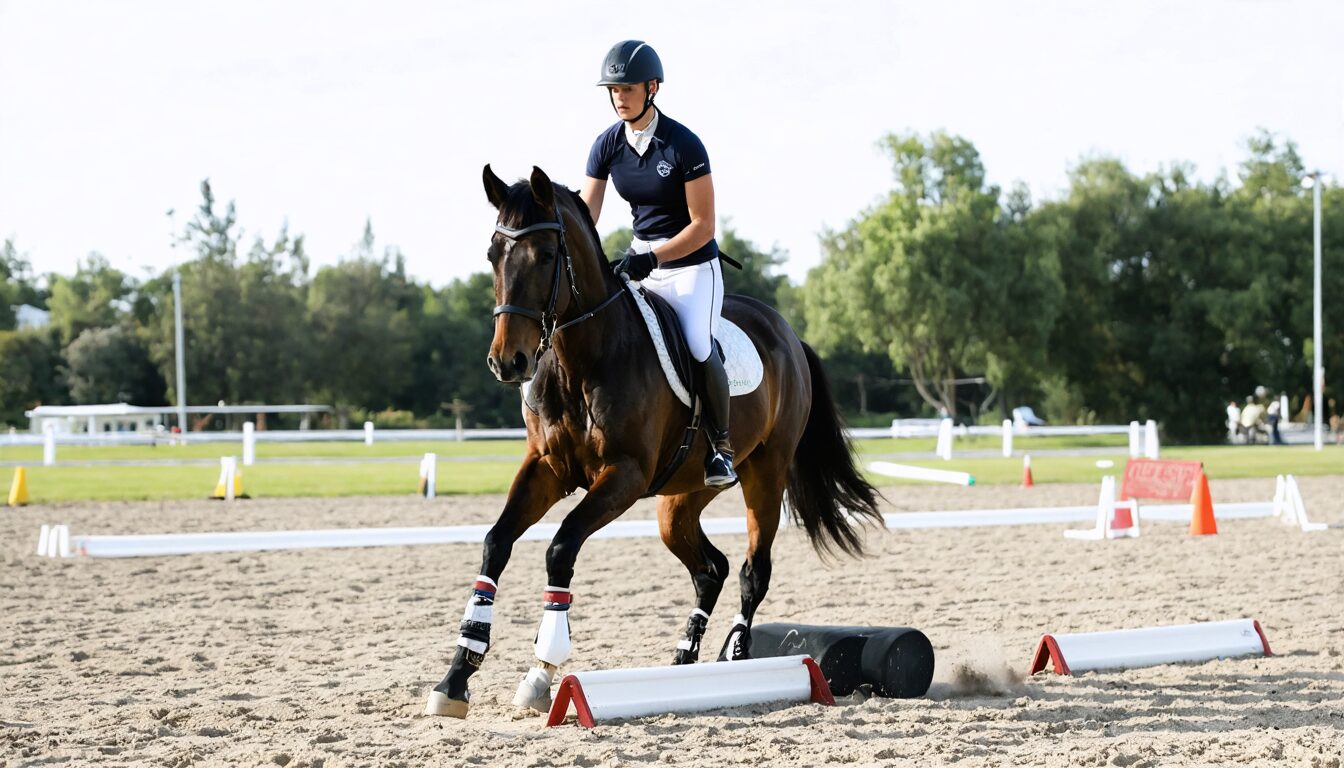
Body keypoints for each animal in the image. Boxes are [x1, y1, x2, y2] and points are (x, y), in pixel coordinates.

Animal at [424, 165, 883, 719]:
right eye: (493, 253)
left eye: (548, 256)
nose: (507, 362)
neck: (583, 357)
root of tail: (787, 334)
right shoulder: (548, 468)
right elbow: (496, 544)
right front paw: (456, 678)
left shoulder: (623, 475)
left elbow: (561, 548)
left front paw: (541, 670)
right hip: (681, 496)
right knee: (710, 568)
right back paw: (684, 661)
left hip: (765, 474)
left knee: (753, 570)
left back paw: (736, 658)